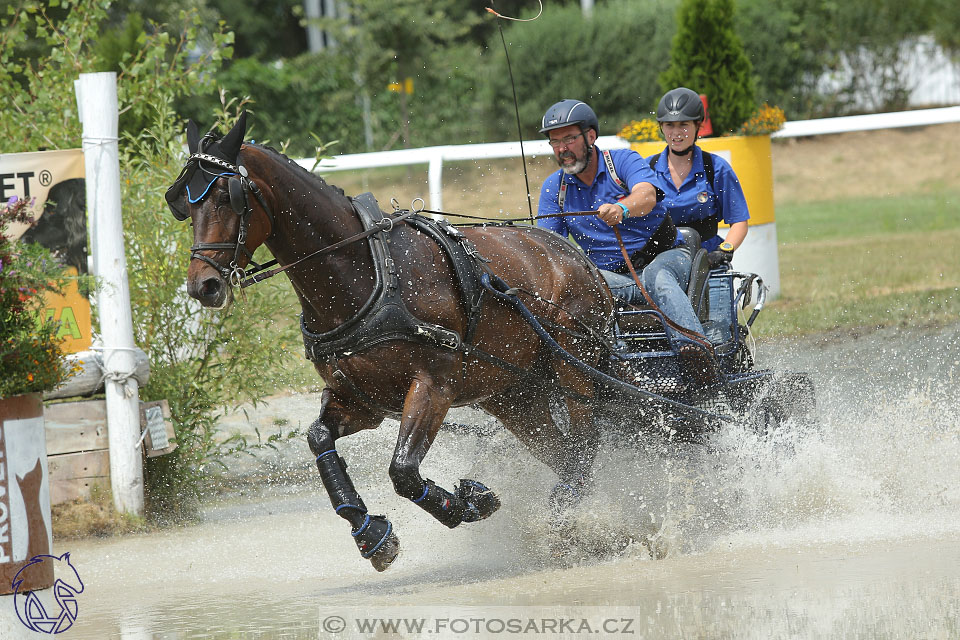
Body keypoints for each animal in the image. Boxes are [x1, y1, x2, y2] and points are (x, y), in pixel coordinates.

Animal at [165, 112, 616, 572]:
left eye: (227, 196)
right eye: (182, 201)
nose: (202, 285)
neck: (368, 273)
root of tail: (576, 257)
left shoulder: (433, 386)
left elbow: (403, 471)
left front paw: (469, 503)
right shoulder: (361, 400)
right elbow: (319, 439)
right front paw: (371, 533)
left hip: (574, 367)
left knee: (584, 444)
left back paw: (566, 522)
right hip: (515, 394)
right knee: (563, 452)